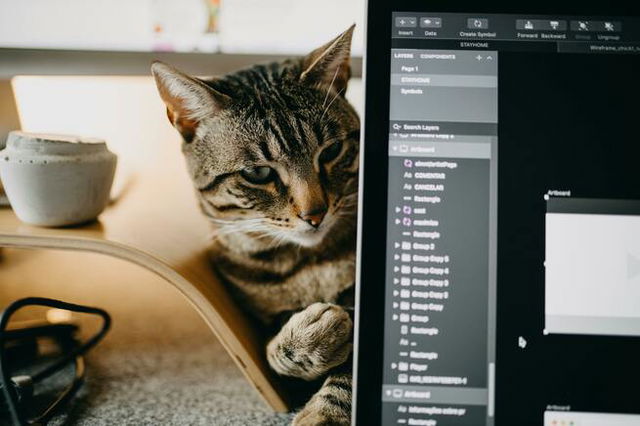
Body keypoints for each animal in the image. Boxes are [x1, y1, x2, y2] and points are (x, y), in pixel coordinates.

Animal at [151, 25, 360, 424]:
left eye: (330, 151)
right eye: (257, 173)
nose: (316, 213)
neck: (307, 265)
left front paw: (322, 414)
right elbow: (270, 355)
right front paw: (306, 341)